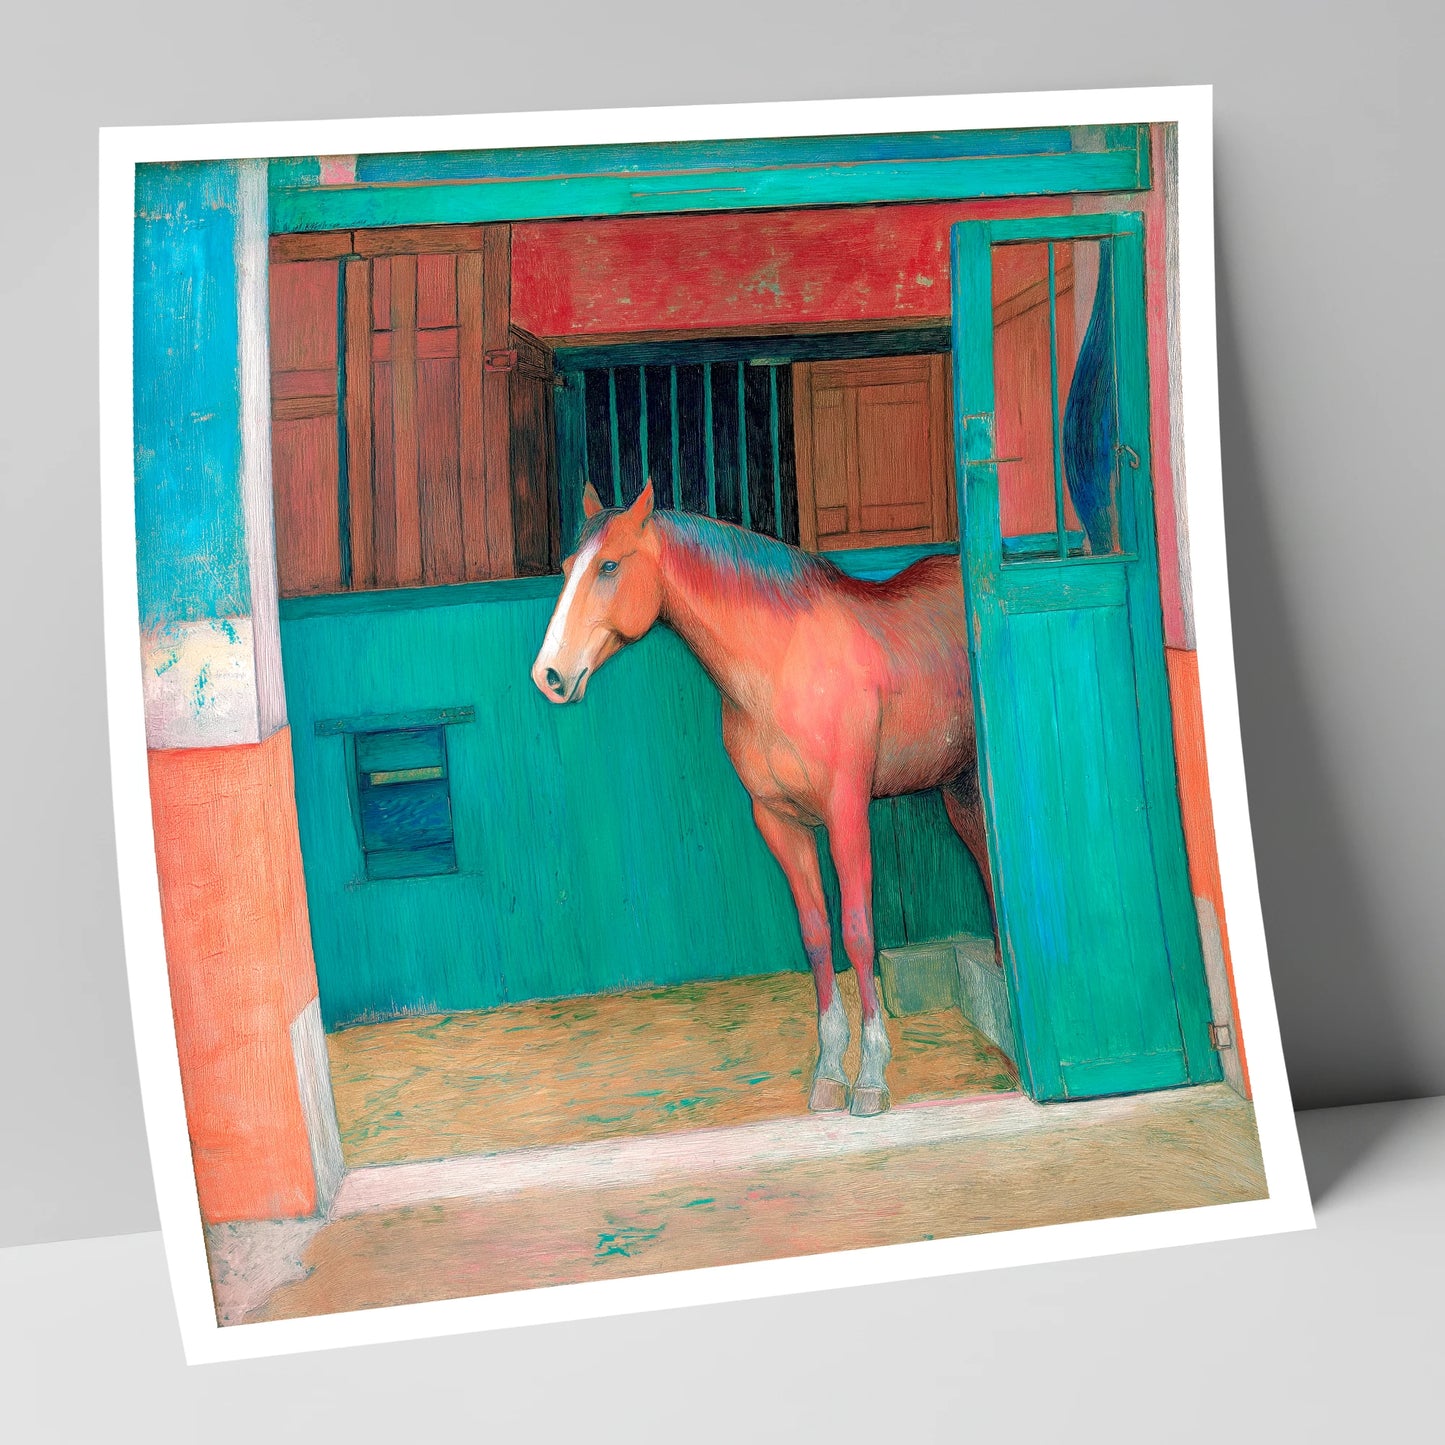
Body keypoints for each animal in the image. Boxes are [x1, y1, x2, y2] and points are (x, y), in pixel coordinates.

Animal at [531, 480, 994, 1117]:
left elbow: (857, 932)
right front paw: (829, 1072)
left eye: (608, 566)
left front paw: (872, 1077)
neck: (781, 665)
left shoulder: (847, 813)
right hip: (961, 789)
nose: (549, 675)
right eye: (566, 566)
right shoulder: (778, 821)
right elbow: (816, 937)